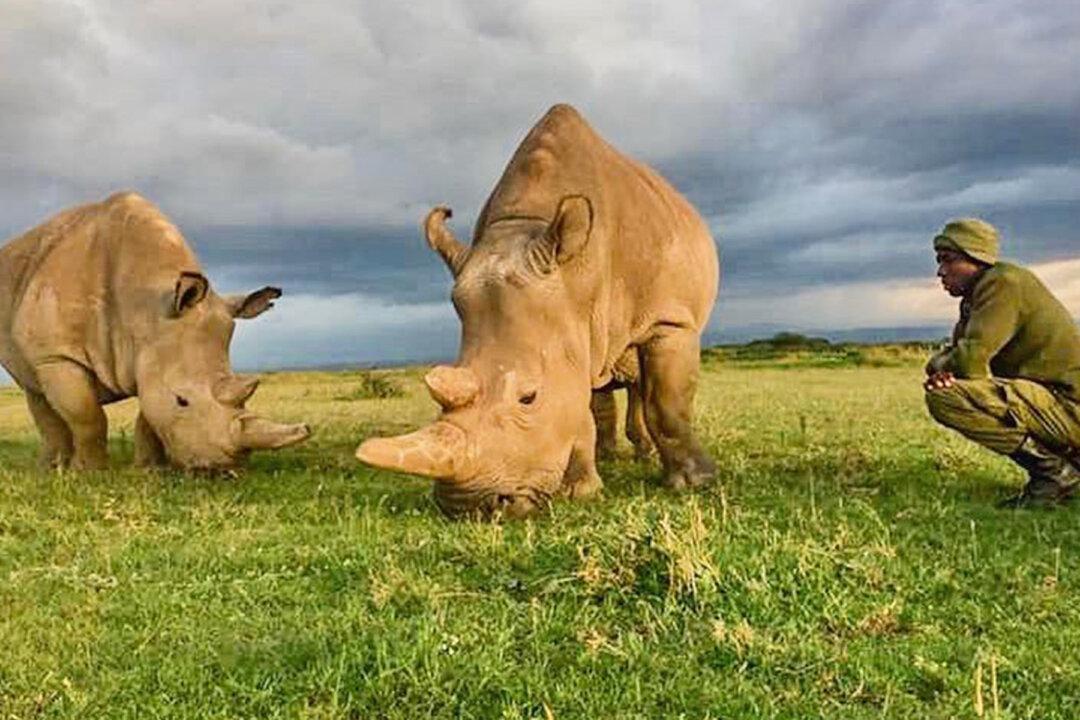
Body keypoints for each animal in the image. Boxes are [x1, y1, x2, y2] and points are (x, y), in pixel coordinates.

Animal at [0, 192, 311, 470]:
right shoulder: (56, 355)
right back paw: (52, 469)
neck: (146, 308)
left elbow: (150, 414)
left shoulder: (155, 348)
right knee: (34, 389)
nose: (220, 469)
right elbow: (87, 416)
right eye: (182, 401)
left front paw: (150, 470)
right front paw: (90, 472)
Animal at [357, 104, 719, 518]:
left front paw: (693, 483)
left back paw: (644, 456)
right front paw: (580, 491)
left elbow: (668, 402)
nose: (470, 507)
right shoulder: (571, 322)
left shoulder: (670, 318)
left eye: (528, 398)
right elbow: (576, 407)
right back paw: (610, 456)